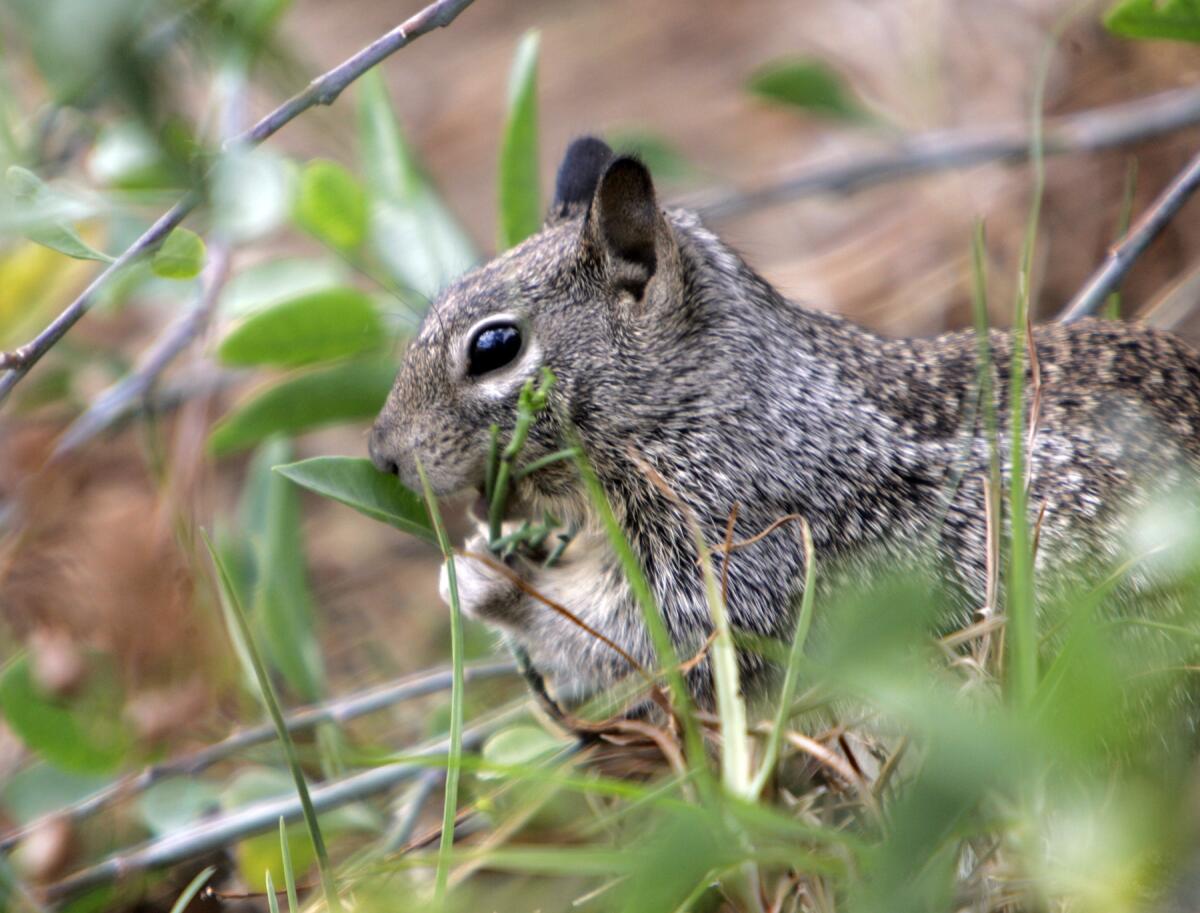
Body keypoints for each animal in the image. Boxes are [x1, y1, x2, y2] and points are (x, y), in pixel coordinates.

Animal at [367, 133, 1200, 705]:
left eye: (495, 346)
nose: (383, 455)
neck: (699, 411)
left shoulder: (739, 558)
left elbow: (636, 643)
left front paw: (481, 578)